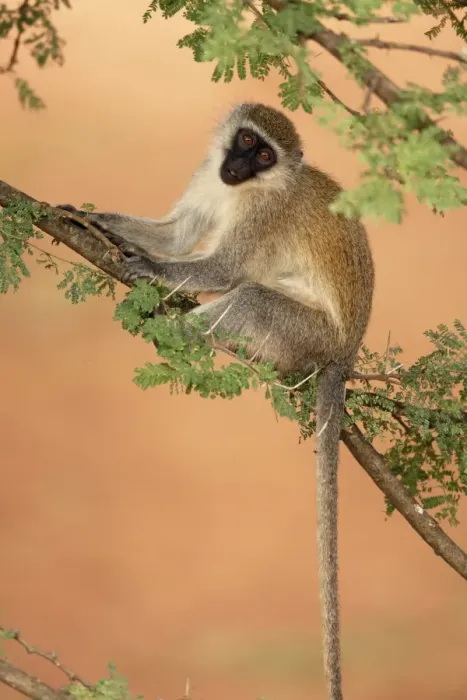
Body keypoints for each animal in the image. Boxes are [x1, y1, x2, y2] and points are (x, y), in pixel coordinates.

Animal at [58, 102, 374, 700]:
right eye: (247, 141)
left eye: (265, 155)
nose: (239, 166)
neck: (251, 189)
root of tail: (346, 349)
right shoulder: (209, 177)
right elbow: (179, 233)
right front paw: (92, 220)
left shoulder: (264, 216)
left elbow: (221, 268)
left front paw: (148, 268)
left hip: (303, 333)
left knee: (247, 296)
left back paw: (176, 330)